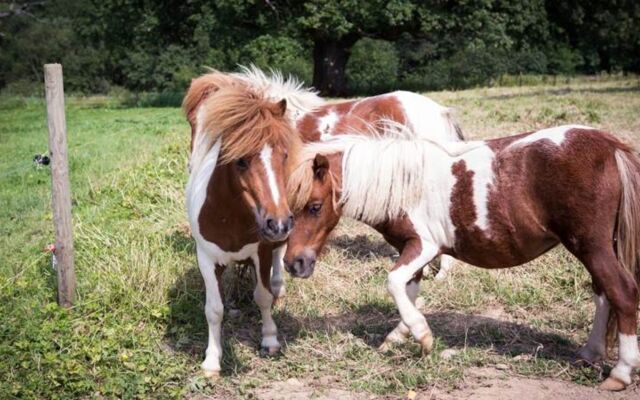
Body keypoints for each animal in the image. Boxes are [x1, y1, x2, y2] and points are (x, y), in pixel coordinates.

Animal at [181, 69, 320, 378]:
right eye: (240, 161)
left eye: (283, 154)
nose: (278, 223)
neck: (229, 213)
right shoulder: (206, 257)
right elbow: (214, 309)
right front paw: (212, 360)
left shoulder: (263, 251)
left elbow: (263, 296)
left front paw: (269, 339)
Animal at [284, 126, 640, 390]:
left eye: (314, 206)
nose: (293, 263)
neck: (402, 183)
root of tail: (609, 145)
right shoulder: (411, 249)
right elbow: (408, 289)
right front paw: (399, 336)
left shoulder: (423, 246)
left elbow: (394, 282)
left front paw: (422, 335)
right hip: (596, 247)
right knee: (603, 295)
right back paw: (589, 353)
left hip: (591, 246)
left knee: (621, 293)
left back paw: (621, 373)